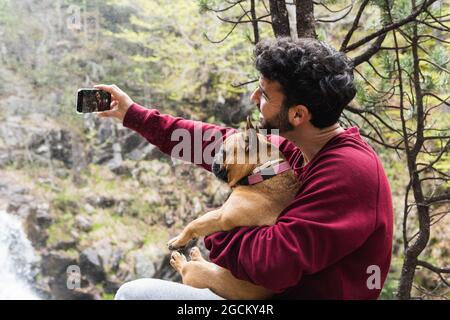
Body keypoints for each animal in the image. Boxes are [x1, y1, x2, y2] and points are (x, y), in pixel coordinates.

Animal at [167, 118, 300, 300]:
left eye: (223, 151)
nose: (213, 159)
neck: (262, 171)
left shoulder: (220, 216)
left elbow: (194, 224)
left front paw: (178, 241)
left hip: (198, 273)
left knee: (186, 269)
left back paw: (179, 260)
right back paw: (195, 254)